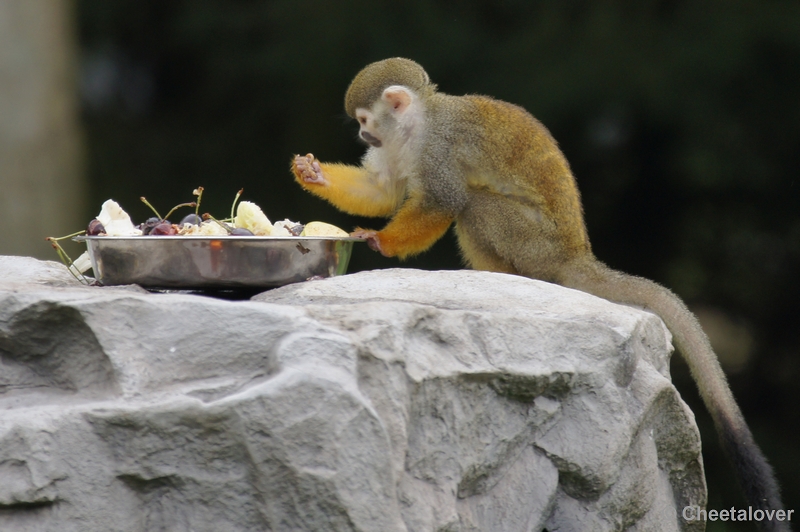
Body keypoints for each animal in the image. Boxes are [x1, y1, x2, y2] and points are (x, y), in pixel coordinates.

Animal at [290, 57, 788, 528]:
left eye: (364, 120)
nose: (363, 135)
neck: (417, 125)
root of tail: (576, 254)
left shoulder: (438, 150)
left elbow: (444, 202)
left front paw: (381, 241)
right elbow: (383, 190)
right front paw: (313, 175)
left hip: (535, 242)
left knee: (475, 205)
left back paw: (506, 274)